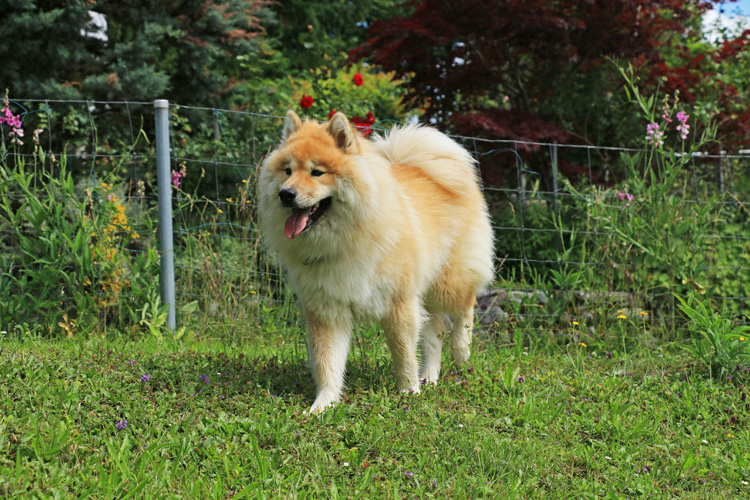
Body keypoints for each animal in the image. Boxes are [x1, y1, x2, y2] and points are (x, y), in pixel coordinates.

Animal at [262, 111, 496, 412]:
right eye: (288, 171)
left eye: (317, 172)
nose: (286, 194)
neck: (348, 239)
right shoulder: (327, 311)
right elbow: (327, 363)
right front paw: (322, 406)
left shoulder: (399, 304)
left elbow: (403, 354)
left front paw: (408, 392)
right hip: (427, 296)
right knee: (434, 337)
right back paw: (429, 379)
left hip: (447, 283)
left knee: (465, 307)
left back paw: (461, 350)